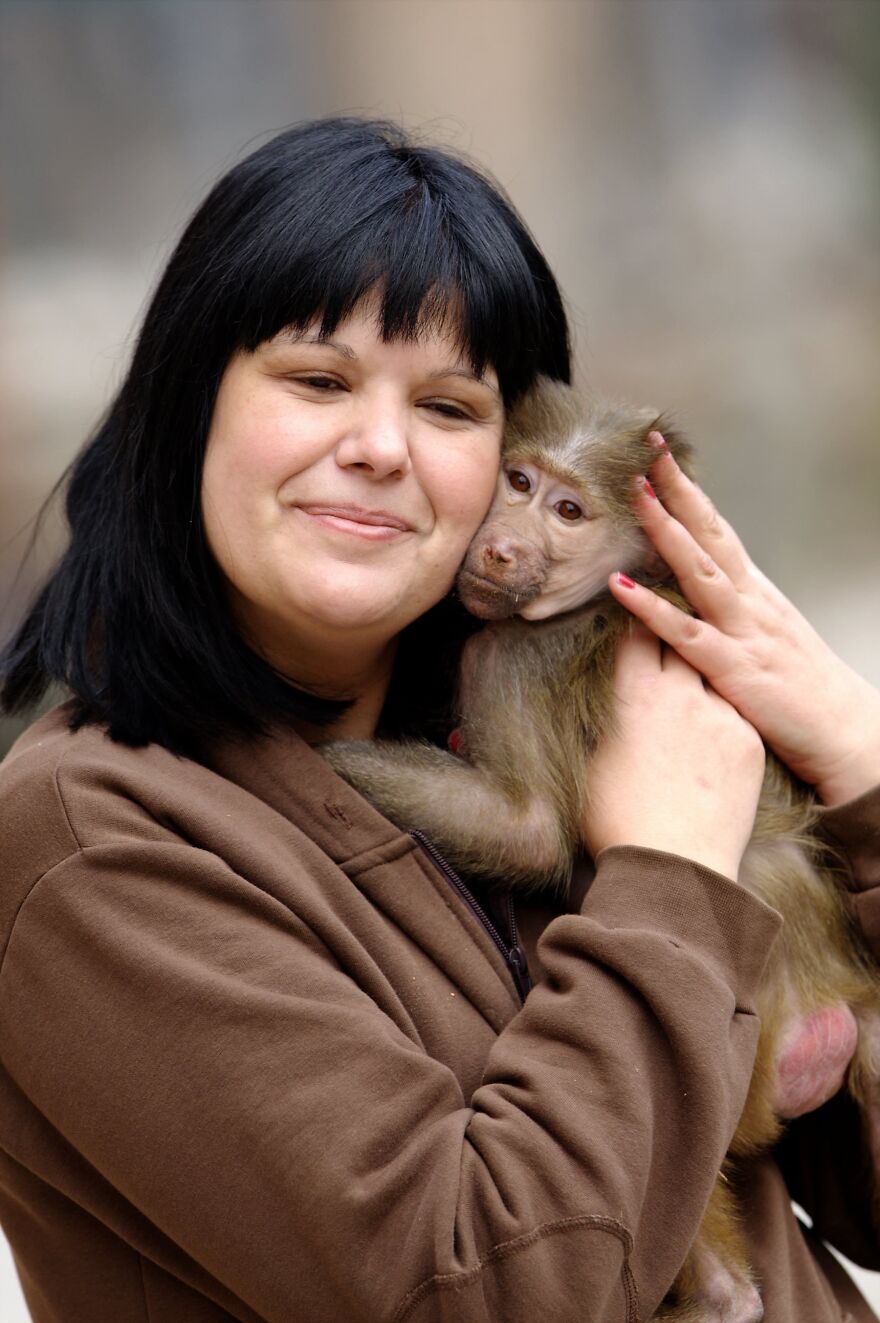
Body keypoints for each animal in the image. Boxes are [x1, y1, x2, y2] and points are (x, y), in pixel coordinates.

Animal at [321, 378, 880, 1322]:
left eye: (569, 509)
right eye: (516, 481)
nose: (501, 546)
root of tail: (832, 1006)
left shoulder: (520, 653)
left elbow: (529, 827)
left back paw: (720, 1296)